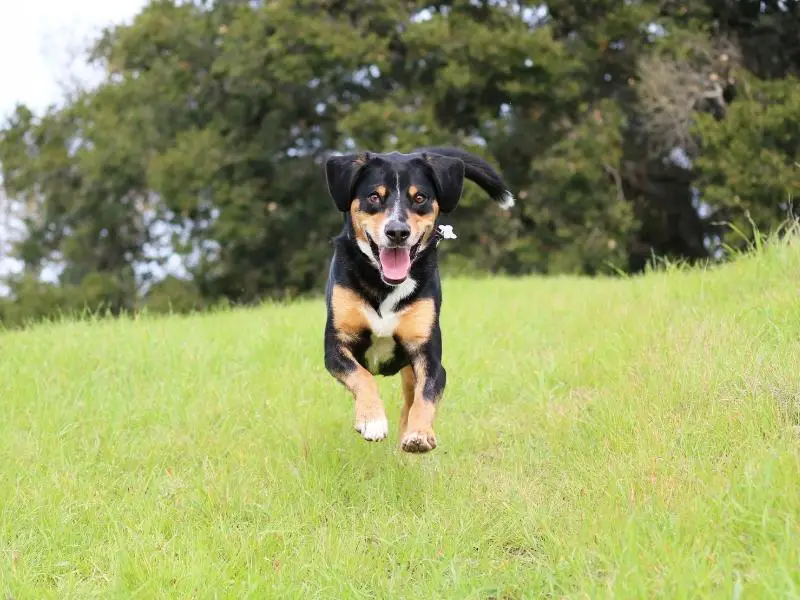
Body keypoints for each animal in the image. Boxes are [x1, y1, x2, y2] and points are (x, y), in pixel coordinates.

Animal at [320, 148, 512, 452]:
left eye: (419, 197)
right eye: (374, 196)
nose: (398, 232)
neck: (384, 285)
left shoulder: (428, 356)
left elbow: (427, 396)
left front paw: (420, 433)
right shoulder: (336, 346)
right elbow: (361, 376)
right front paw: (372, 419)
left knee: (409, 401)